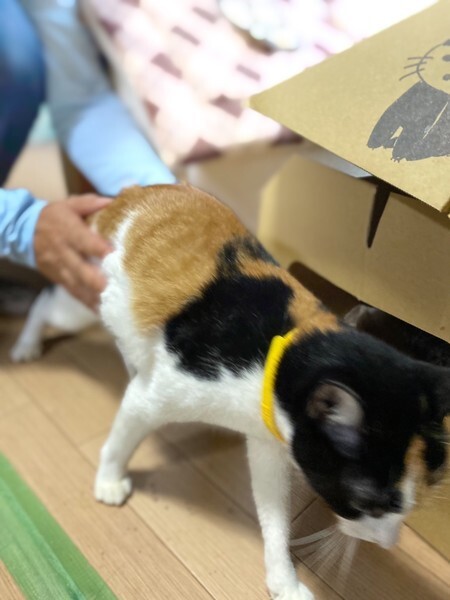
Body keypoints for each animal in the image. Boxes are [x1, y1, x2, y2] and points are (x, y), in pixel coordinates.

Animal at [11, 184, 450, 600]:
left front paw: (283, 580)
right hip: (83, 299)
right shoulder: (153, 396)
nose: (389, 543)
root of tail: (127, 196)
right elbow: (121, 437)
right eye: (367, 504)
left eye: (409, 506)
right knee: (45, 303)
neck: (280, 356)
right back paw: (26, 346)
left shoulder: (268, 445)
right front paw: (108, 479)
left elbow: (275, 518)